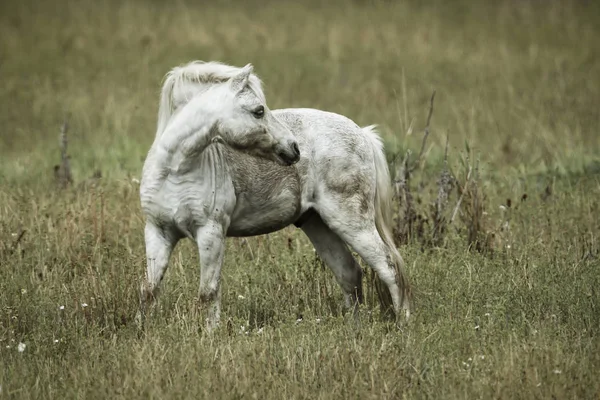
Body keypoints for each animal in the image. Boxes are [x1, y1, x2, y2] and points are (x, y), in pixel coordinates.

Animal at [140, 59, 410, 328]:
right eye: (259, 110)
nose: (294, 148)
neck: (174, 170)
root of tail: (363, 133)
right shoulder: (158, 232)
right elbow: (150, 289)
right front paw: (144, 329)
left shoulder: (211, 232)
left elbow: (208, 292)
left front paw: (210, 333)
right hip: (318, 224)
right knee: (350, 272)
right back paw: (354, 328)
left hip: (351, 222)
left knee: (389, 267)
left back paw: (402, 325)